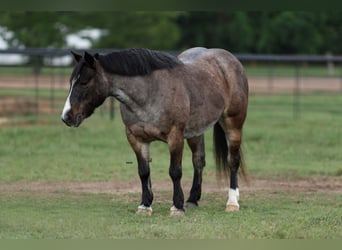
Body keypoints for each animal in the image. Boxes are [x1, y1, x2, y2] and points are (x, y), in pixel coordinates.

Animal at [60, 47, 248, 216]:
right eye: (70, 82)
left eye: (84, 82)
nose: (66, 116)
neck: (150, 92)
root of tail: (230, 59)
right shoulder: (136, 139)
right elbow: (144, 172)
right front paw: (145, 205)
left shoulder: (175, 137)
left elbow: (175, 172)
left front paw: (177, 207)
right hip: (196, 132)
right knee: (199, 160)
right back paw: (192, 200)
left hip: (233, 124)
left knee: (233, 161)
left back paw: (232, 202)